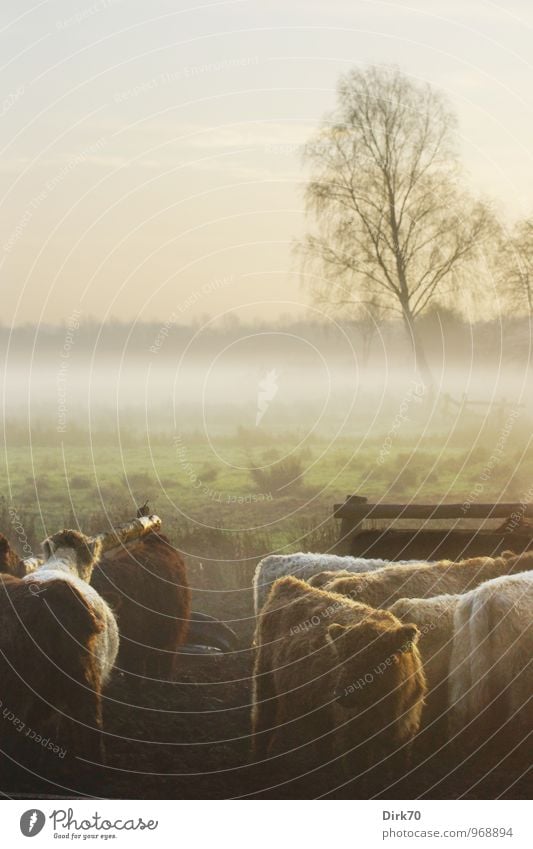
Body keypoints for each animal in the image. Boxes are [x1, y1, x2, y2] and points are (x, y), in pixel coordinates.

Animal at [251, 572, 426, 784]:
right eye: (342, 657)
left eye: (376, 657)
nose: (341, 694)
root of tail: (289, 582)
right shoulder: (351, 738)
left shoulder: (404, 735)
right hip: (265, 680)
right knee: (262, 723)